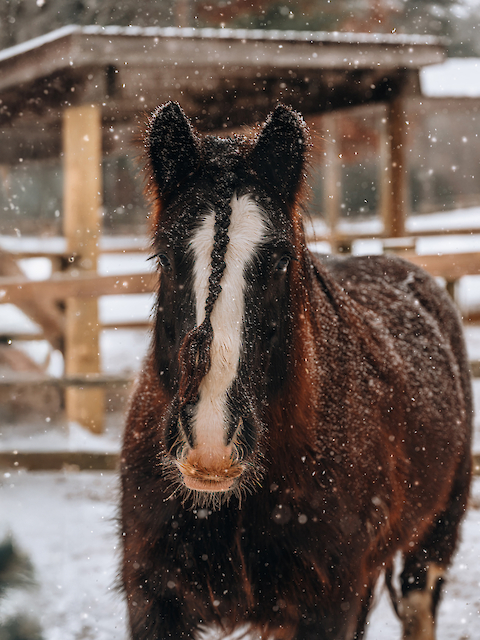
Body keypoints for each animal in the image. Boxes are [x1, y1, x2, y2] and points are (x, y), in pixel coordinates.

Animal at [121, 101, 472, 640]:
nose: (210, 442)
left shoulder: (328, 606)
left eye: (281, 260)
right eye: (164, 256)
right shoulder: (153, 597)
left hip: (432, 541)